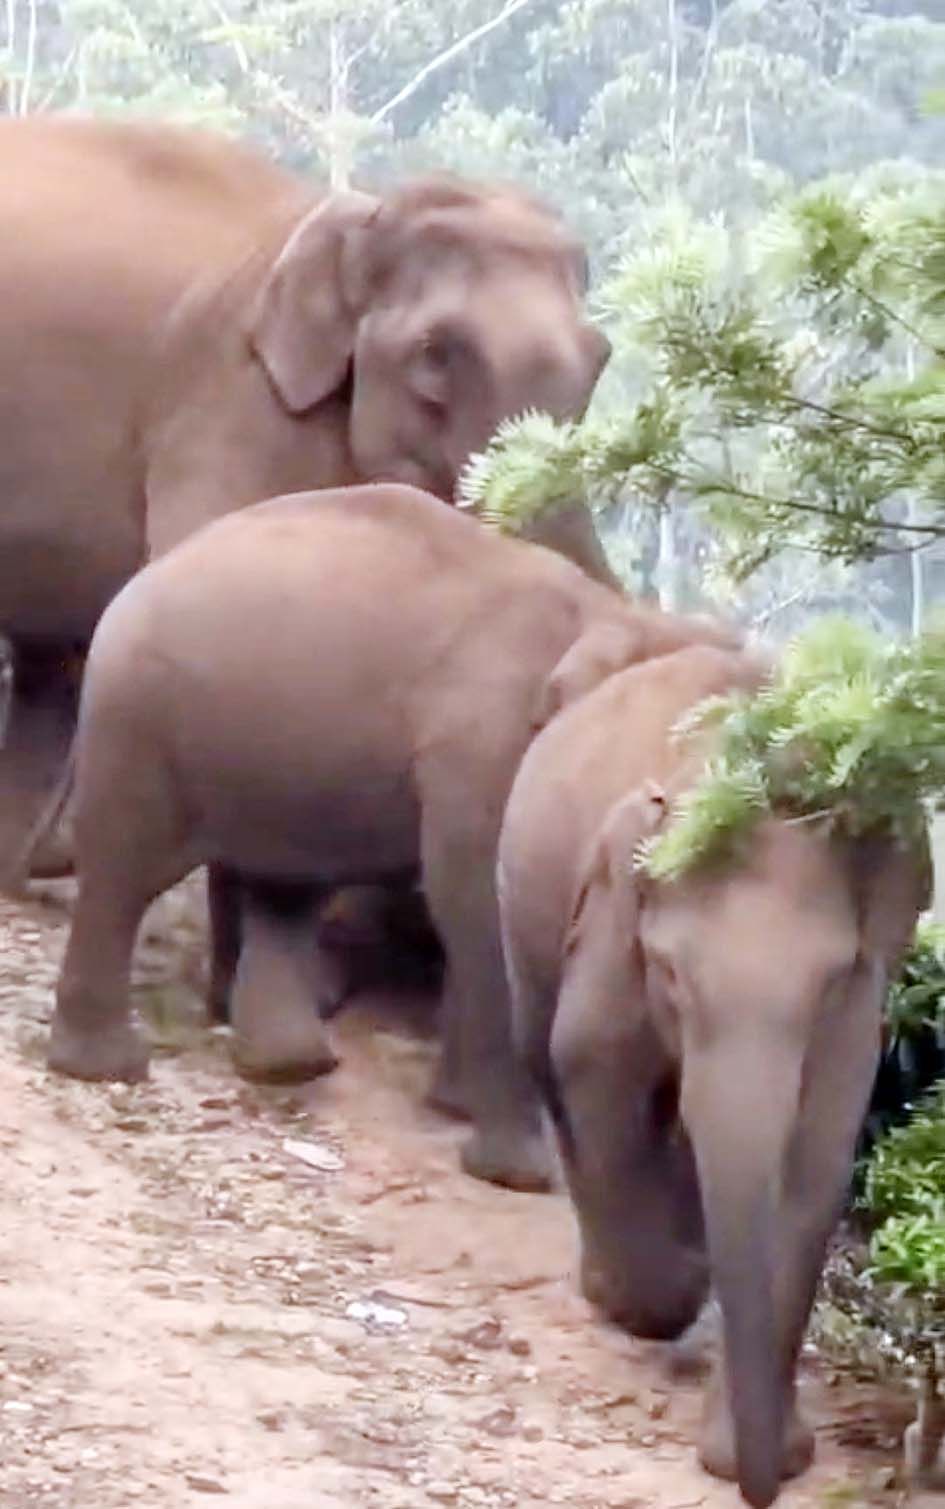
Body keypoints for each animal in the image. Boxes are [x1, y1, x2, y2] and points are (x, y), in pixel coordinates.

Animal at [48, 483, 741, 1191]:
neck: (614, 614)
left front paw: (455, 1107)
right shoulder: (483, 747)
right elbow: (476, 901)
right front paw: (518, 1174)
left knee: (284, 888)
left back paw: (289, 1066)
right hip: (139, 722)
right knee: (126, 871)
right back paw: (107, 1066)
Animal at [496, 643, 930, 1505]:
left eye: (826, 982)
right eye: (669, 973)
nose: (759, 1490)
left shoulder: (860, 995)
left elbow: (814, 1157)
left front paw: (755, 1454)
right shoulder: (611, 923)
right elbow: (590, 1061)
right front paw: (662, 1297)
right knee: (546, 1054)